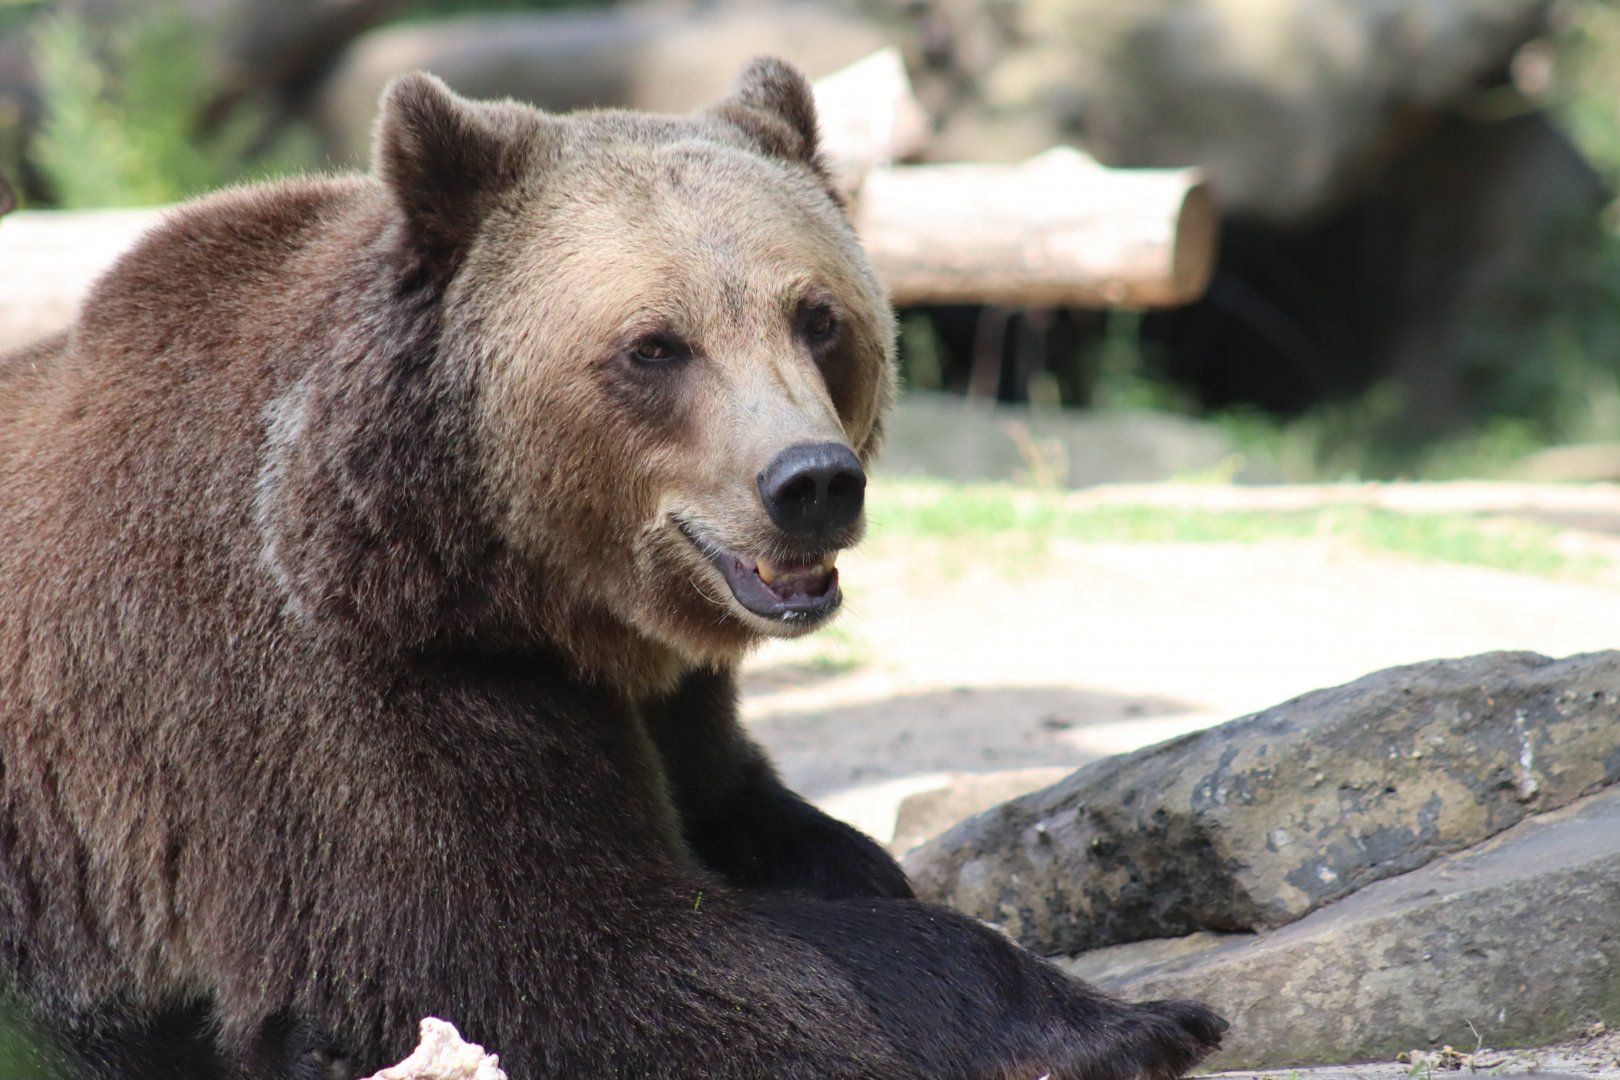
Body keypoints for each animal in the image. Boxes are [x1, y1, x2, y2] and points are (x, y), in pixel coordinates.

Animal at [0, 59, 1225, 1079]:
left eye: (818, 316)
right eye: (655, 345)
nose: (813, 481)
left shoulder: (667, 697)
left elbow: (758, 819)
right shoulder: (326, 698)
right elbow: (549, 960)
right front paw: (1132, 1021)